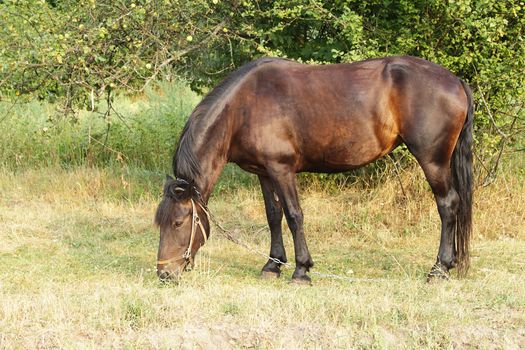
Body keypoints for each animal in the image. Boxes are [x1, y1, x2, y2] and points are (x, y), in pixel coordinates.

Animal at [154, 55, 472, 284]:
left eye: (178, 222)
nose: (164, 273)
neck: (243, 107)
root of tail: (456, 81)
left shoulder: (282, 170)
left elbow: (294, 216)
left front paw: (301, 270)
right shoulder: (263, 172)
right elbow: (273, 216)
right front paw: (272, 265)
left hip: (432, 161)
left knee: (447, 205)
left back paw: (439, 269)